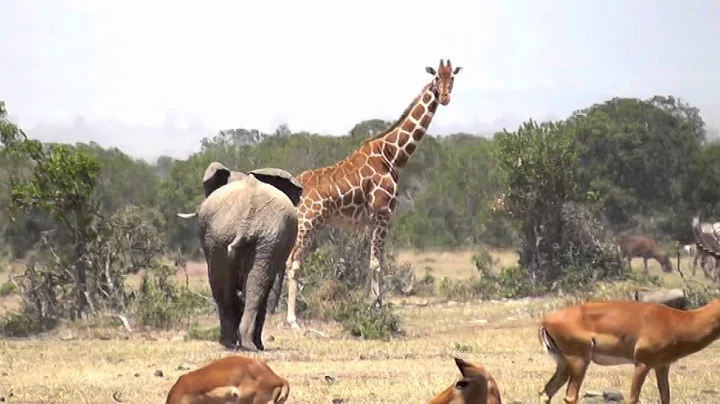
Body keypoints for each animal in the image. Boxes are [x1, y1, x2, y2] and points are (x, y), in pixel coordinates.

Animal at [178, 161, 302, 351]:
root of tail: (247, 217)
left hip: (234, 237)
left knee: (228, 287)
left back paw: (234, 343)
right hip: (250, 237)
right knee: (250, 287)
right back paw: (245, 344)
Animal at [278, 59, 462, 330]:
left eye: (453, 78)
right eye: (437, 77)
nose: (446, 97)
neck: (393, 156)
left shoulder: (371, 220)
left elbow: (372, 262)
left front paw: (371, 304)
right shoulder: (383, 213)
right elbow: (377, 263)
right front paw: (377, 308)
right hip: (307, 223)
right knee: (292, 262)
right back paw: (292, 319)